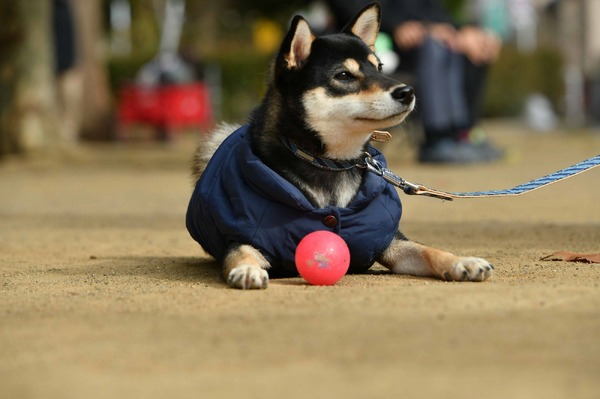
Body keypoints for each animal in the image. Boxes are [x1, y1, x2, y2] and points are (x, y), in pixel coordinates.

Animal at [186, 1, 492, 290]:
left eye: (379, 68)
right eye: (344, 75)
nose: (407, 91)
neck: (331, 163)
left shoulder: (390, 241)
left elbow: (428, 250)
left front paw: (462, 261)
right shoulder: (243, 237)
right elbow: (241, 253)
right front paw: (247, 270)